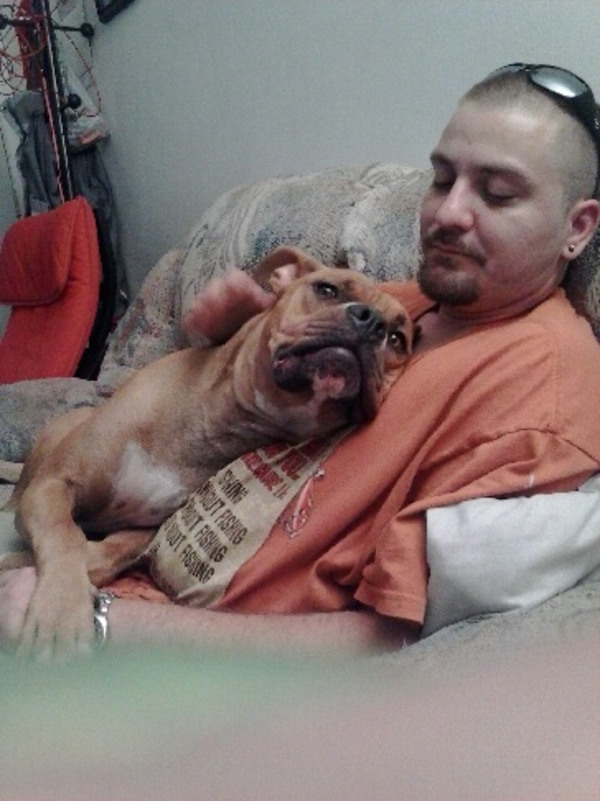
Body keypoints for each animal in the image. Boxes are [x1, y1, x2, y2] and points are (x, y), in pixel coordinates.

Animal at [1, 246, 413, 658]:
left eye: (398, 338)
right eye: (327, 289)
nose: (372, 322)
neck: (217, 421)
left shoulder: (144, 528)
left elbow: (104, 551)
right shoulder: (53, 485)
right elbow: (65, 534)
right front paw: (59, 613)